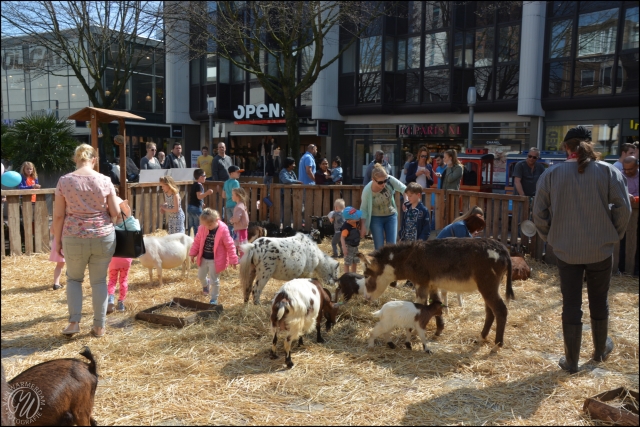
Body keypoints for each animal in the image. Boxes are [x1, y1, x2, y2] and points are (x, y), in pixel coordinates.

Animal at [360, 239, 516, 352]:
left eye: (366, 275)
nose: (366, 298)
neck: (409, 257)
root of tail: (503, 250)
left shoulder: (421, 284)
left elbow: (420, 305)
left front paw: (413, 334)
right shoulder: (432, 285)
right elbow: (436, 303)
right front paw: (438, 330)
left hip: (488, 285)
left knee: (500, 310)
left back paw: (496, 345)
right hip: (488, 287)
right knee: (490, 312)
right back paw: (481, 338)